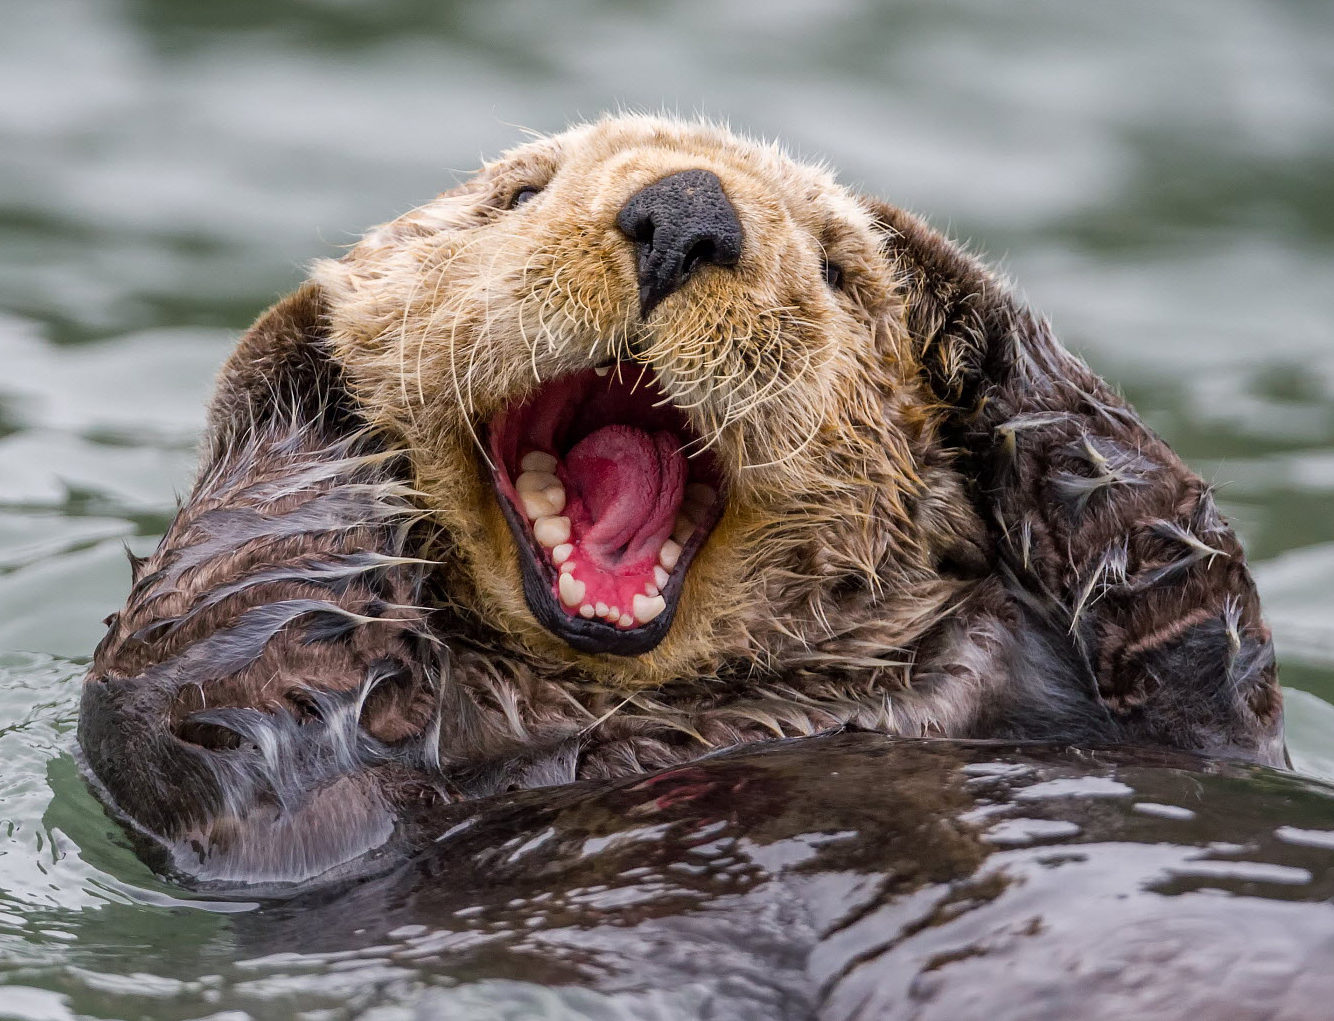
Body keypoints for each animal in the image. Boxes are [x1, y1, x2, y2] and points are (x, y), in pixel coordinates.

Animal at [78, 115, 1285, 880]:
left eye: (837, 270)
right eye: (517, 194)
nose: (687, 209)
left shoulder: (1169, 709)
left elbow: (1192, 616)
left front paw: (949, 287)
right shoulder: (278, 801)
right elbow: (218, 692)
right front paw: (307, 372)